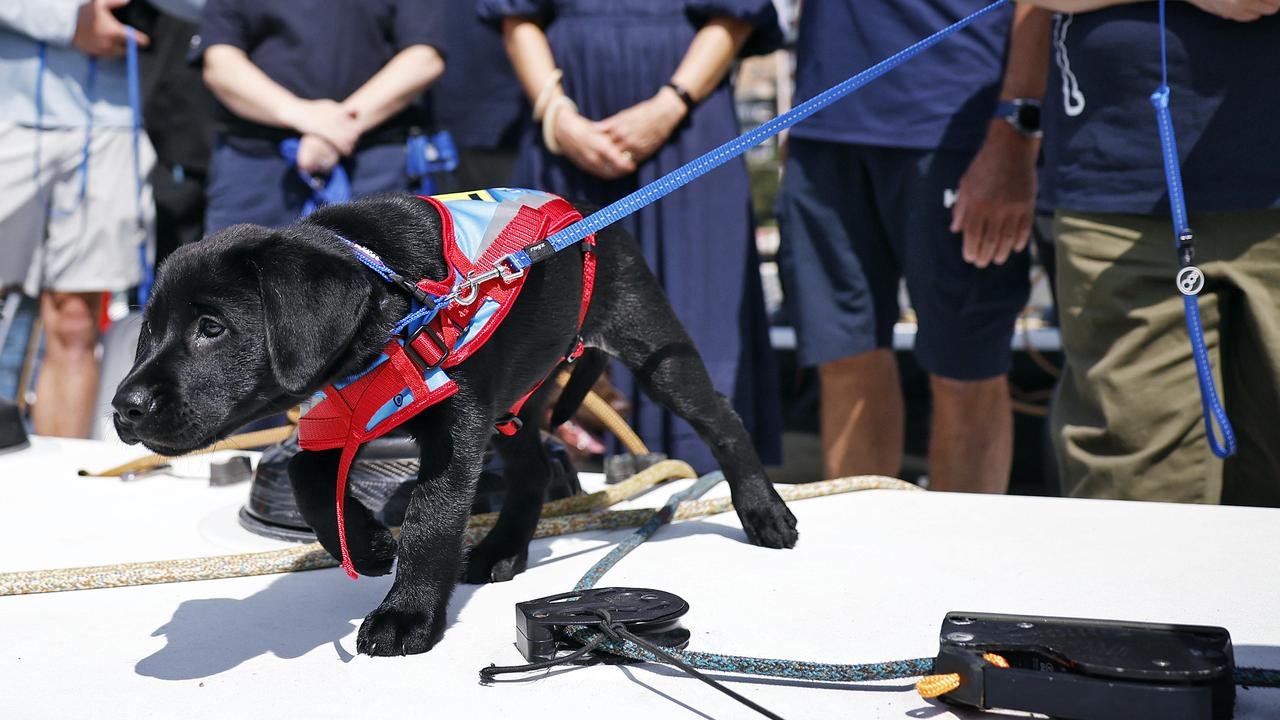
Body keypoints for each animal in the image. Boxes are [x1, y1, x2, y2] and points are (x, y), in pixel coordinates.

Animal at [115, 193, 793, 653]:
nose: (124, 407)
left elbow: (431, 521)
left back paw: (766, 513)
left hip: (649, 343)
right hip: (516, 401)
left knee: (722, 419)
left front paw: (406, 616)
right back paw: (500, 551)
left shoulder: (455, 426)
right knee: (533, 469)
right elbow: (309, 476)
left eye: (211, 328)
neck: (395, 299)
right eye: (148, 329)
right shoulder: (349, 407)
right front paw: (366, 544)